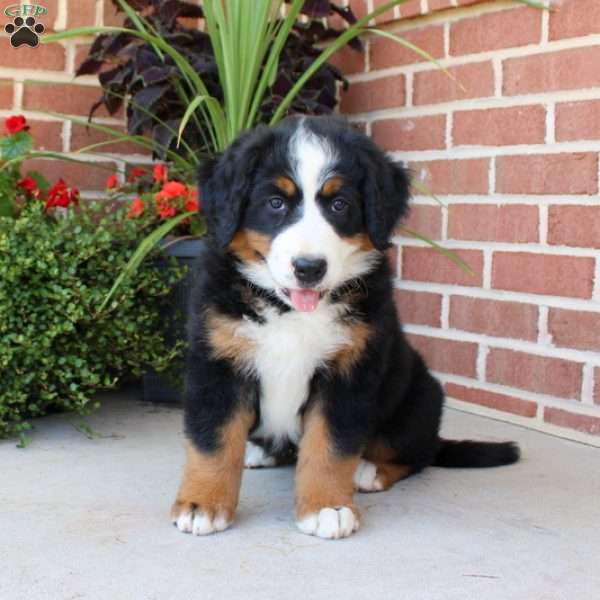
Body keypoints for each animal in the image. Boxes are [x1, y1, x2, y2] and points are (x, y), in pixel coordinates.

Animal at [171, 113, 516, 540]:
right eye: (275, 203)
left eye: (339, 204)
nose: (309, 268)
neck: (291, 313)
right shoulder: (219, 361)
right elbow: (213, 440)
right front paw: (202, 503)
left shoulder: (349, 372)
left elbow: (330, 447)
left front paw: (327, 506)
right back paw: (259, 450)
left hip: (421, 397)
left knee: (416, 453)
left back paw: (369, 471)